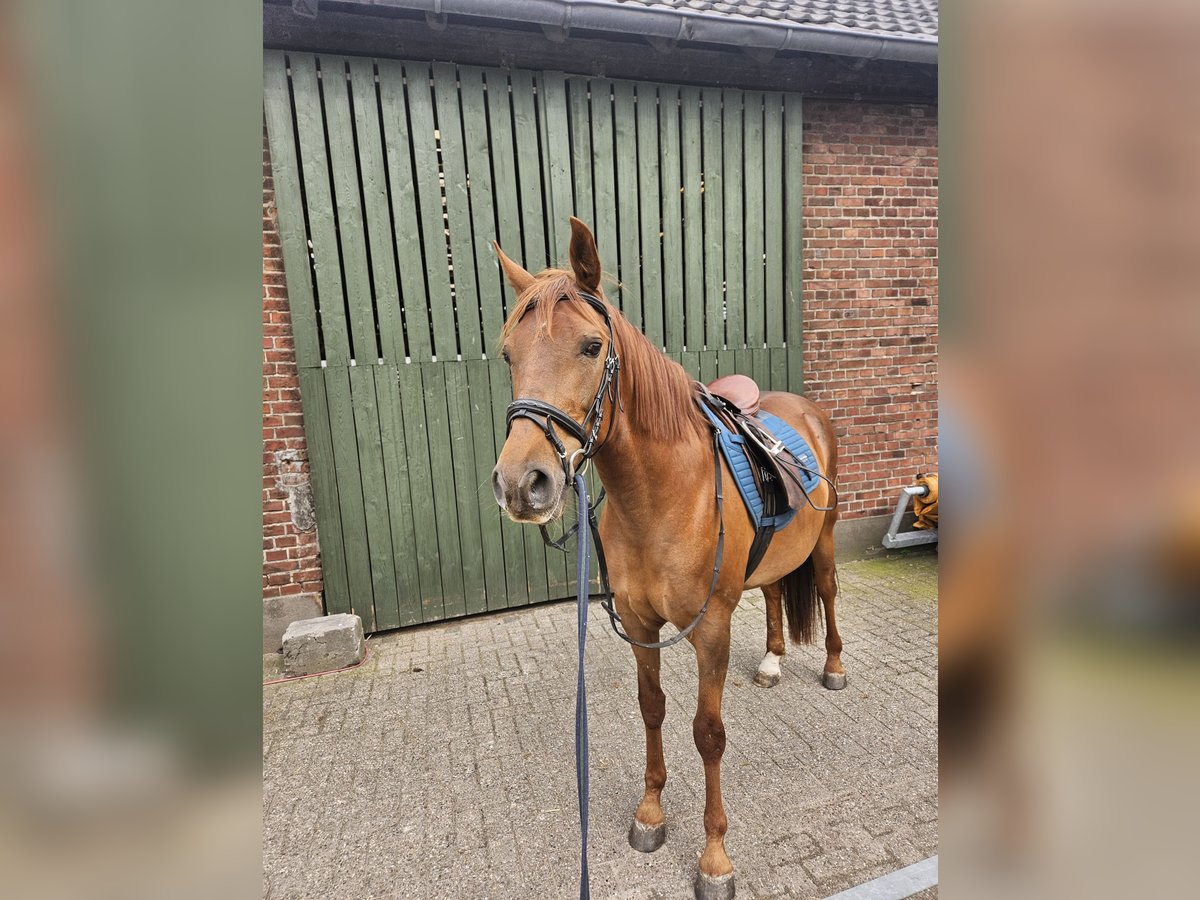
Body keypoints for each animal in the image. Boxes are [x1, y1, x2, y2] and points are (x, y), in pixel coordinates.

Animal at [489, 220, 844, 900]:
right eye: (508, 354)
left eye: (591, 346)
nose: (523, 484)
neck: (659, 497)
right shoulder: (640, 624)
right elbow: (651, 708)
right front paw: (651, 814)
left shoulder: (710, 630)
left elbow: (708, 734)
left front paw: (714, 858)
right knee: (773, 592)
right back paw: (771, 663)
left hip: (828, 539)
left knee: (829, 594)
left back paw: (835, 667)